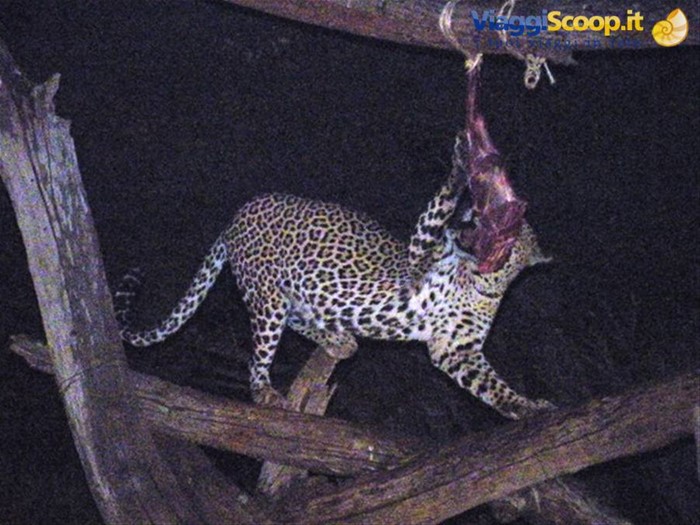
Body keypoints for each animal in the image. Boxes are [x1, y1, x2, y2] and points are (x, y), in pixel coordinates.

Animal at [116, 172, 553, 419]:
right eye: (471, 217)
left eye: (491, 224)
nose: (463, 225)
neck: (482, 283)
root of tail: (238, 214)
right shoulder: (419, 254)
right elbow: (437, 208)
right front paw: (463, 155)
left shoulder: (455, 349)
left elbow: (491, 385)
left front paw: (526, 407)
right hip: (266, 295)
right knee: (260, 353)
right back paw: (264, 391)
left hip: (297, 295)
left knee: (299, 319)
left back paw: (337, 340)